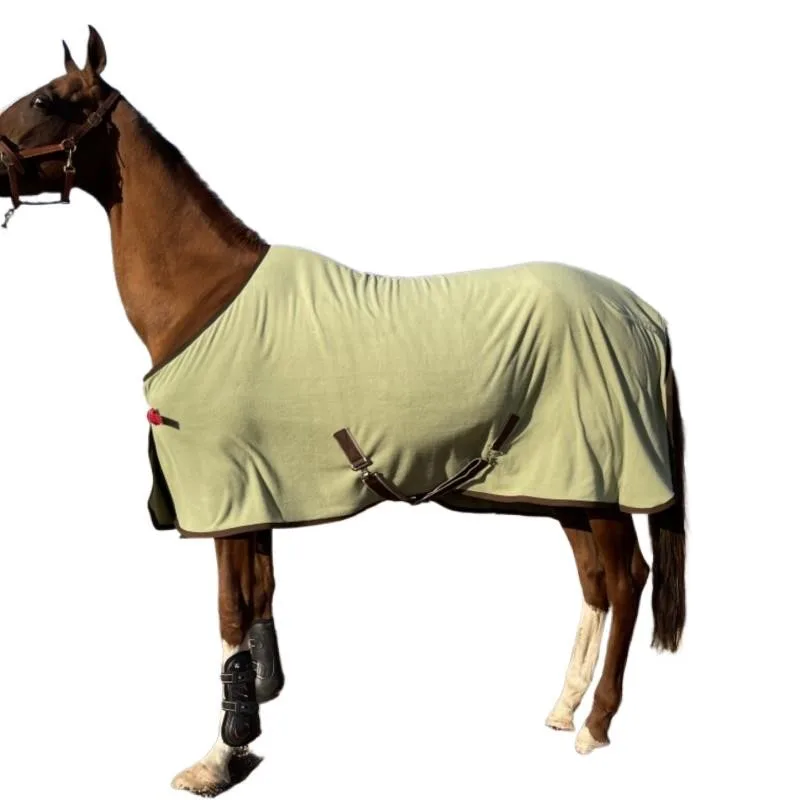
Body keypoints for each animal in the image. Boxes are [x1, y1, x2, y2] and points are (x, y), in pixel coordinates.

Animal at [0, 26, 686, 797]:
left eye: (46, 100)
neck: (208, 296)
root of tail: (642, 313)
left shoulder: (223, 492)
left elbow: (230, 609)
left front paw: (220, 755)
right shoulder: (256, 493)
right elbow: (259, 597)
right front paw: (255, 713)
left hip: (604, 484)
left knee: (627, 580)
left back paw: (596, 725)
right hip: (568, 486)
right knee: (595, 582)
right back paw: (564, 709)